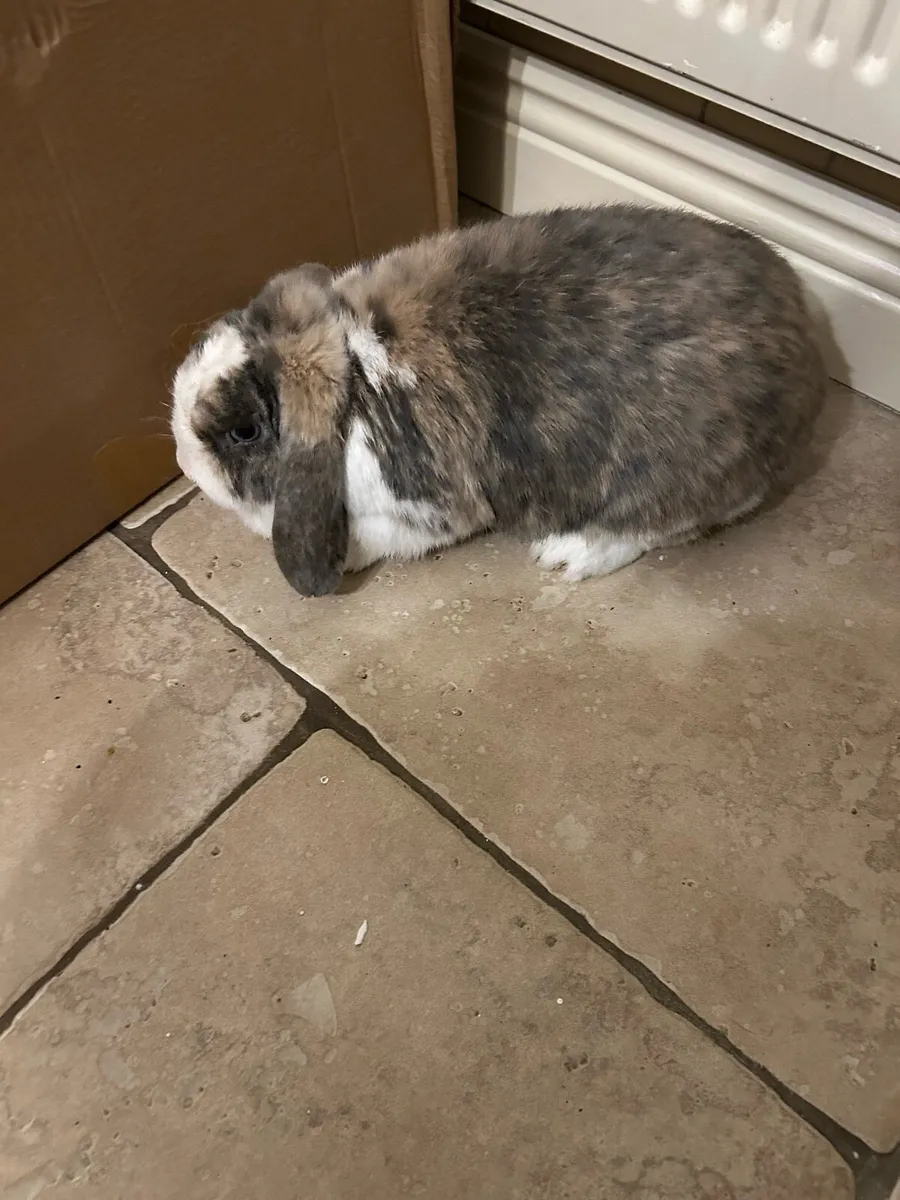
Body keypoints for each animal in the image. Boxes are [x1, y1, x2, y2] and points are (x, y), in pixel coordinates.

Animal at [170, 204, 826, 598]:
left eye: (245, 431)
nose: (182, 459)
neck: (356, 382)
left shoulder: (423, 510)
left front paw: (349, 556)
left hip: (667, 473)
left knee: (660, 525)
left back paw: (568, 554)